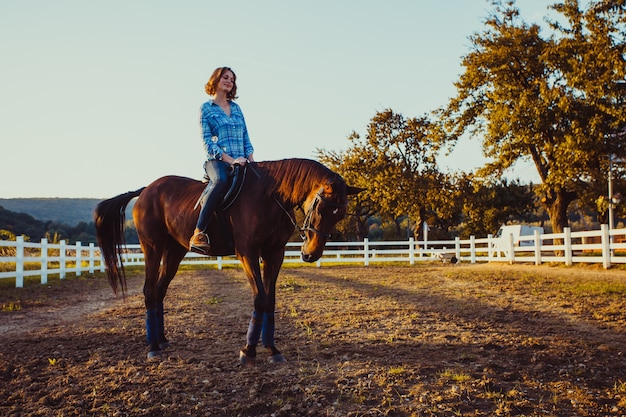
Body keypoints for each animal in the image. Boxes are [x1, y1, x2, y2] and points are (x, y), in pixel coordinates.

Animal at [95, 158, 364, 360]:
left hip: (174, 251)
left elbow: (270, 300)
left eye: (339, 215)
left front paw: (272, 349)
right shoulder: (247, 253)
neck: (269, 198)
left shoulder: (274, 254)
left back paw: (161, 341)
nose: (311, 254)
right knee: (150, 291)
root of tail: (146, 190)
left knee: (160, 291)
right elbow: (259, 298)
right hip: (153, 247)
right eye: (321, 208)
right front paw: (249, 350)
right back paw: (152, 348)